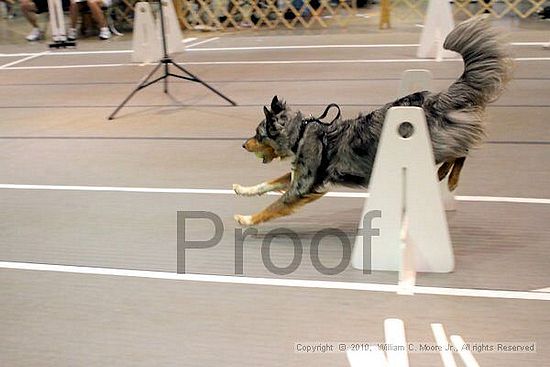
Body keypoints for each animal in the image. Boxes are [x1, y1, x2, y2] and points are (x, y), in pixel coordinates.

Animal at [233, 17, 512, 227]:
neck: (300, 133)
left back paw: (450, 178)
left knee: (463, 148)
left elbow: (272, 207)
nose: (243, 145)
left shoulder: (303, 186)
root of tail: (438, 97)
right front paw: (243, 190)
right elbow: (267, 184)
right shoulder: (299, 176)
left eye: (258, 134)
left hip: (435, 139)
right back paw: (444, 172)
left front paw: (246, 219)